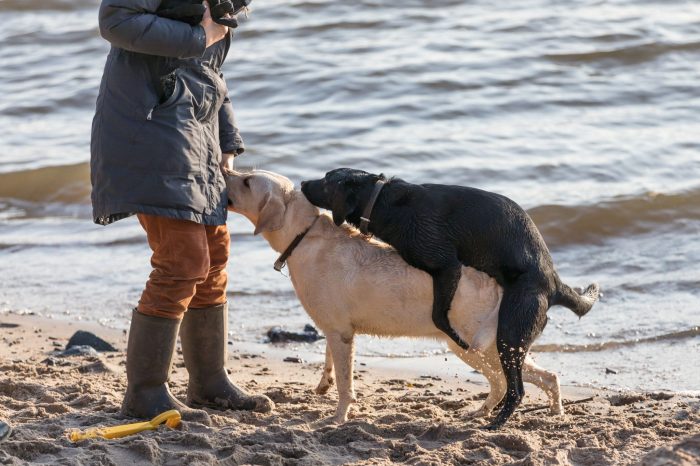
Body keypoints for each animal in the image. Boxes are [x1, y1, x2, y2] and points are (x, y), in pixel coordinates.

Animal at [227, 170, 560, 422]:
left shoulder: (340, 332)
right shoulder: (335, 331)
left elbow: (345, 383)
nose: (225, 170)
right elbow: (330, 361)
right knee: (533, 378)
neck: (303, 235)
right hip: (487, 347)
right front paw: (324, 385)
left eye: (247, 181)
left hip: (476, 345)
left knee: (512, 381)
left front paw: (338, 417)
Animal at [298, 168, 600, 430]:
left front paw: (453, 334)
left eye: (326, 181)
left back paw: (496, 423)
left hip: (510, 332)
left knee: (516, 389)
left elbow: (438, 315)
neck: (383, 200)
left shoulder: (446, 265)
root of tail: (554, 284)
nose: (302, 183)